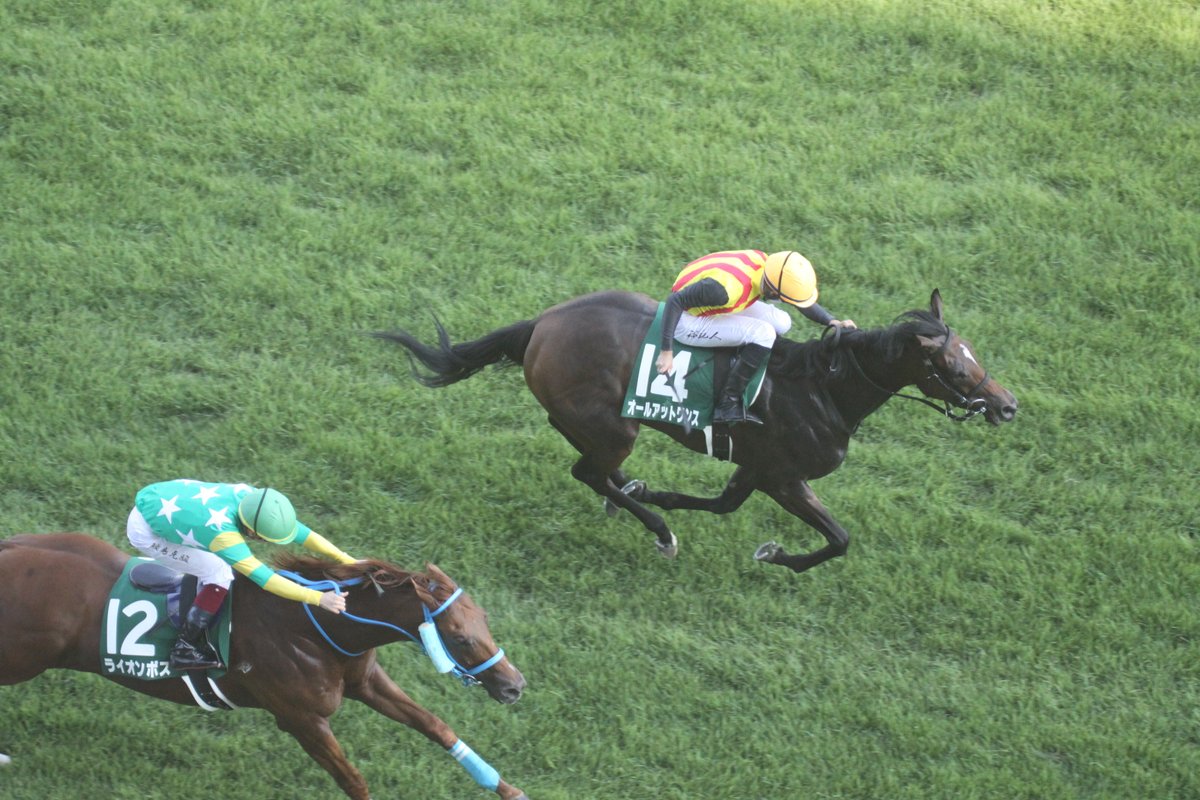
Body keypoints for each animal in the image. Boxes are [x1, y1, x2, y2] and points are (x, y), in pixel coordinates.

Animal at [0, 533, 530, 800]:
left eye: (484, 619)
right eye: (459, 637)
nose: (514, 686)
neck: (313, 626)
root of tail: (11, 547)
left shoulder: (365, 680)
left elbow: (437, 727)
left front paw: (508, 789)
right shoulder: (302, 719)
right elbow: (352, 778)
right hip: (21, 657)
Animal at [374, 289, 1017, 574]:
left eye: (974, 354)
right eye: (956, 367)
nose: (1007, 406)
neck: (824, 388)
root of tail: (543, 323)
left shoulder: (755, 467)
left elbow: (725, 504)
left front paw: (652, 493)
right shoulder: (782, 476)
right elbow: (838, 539)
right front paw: (778, 556)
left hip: (593, 417)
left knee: (585, 456)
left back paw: (628, 496)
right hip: (615, 426)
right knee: (588, 469)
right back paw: (656, 529)